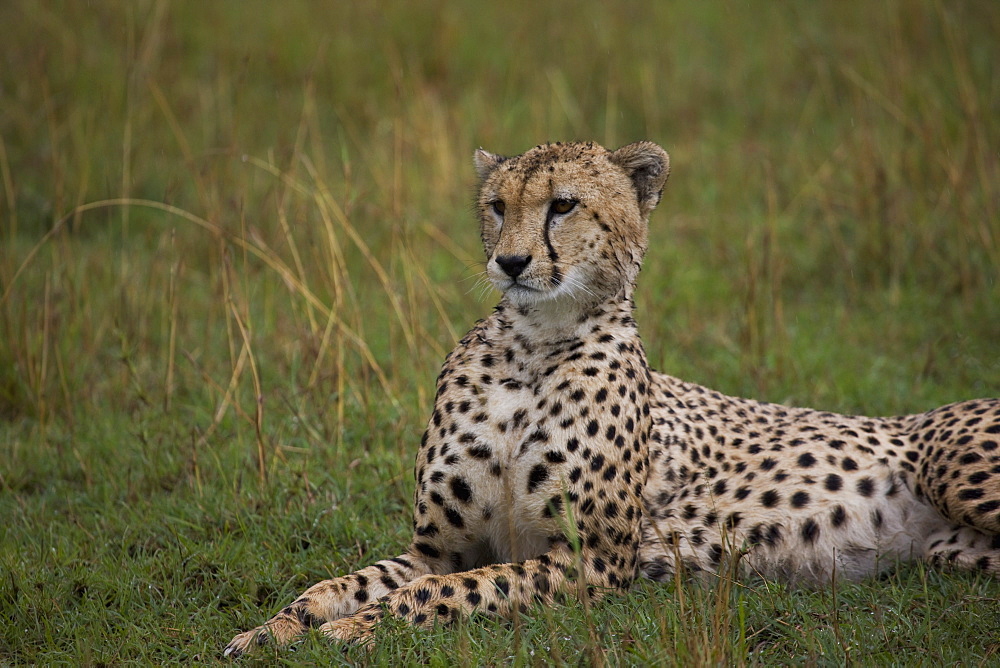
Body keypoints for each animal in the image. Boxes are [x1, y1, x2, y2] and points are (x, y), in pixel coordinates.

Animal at [225, 140, 1000, 656]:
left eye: (563, 205)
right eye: (496, 206)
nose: (509, 261)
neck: (532, 346)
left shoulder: (595, 559)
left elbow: (432, 594)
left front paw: (353, 629)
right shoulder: (439, 549)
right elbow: (334, 584)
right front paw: (270, 630)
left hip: (956, 471)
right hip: (955, 552)